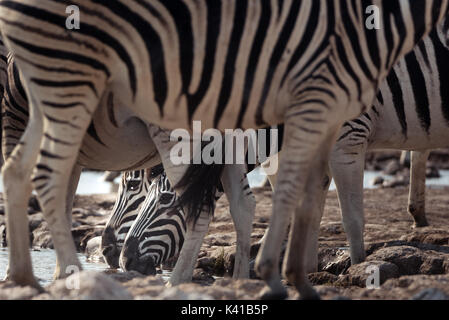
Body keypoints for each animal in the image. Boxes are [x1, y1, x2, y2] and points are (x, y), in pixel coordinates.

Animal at [0, 0, 448, 300]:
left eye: (139, 189)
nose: (117, 257)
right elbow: (290, 201)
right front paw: (278, 269)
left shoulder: (347, 136)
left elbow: (350, 216)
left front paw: (356, 270)